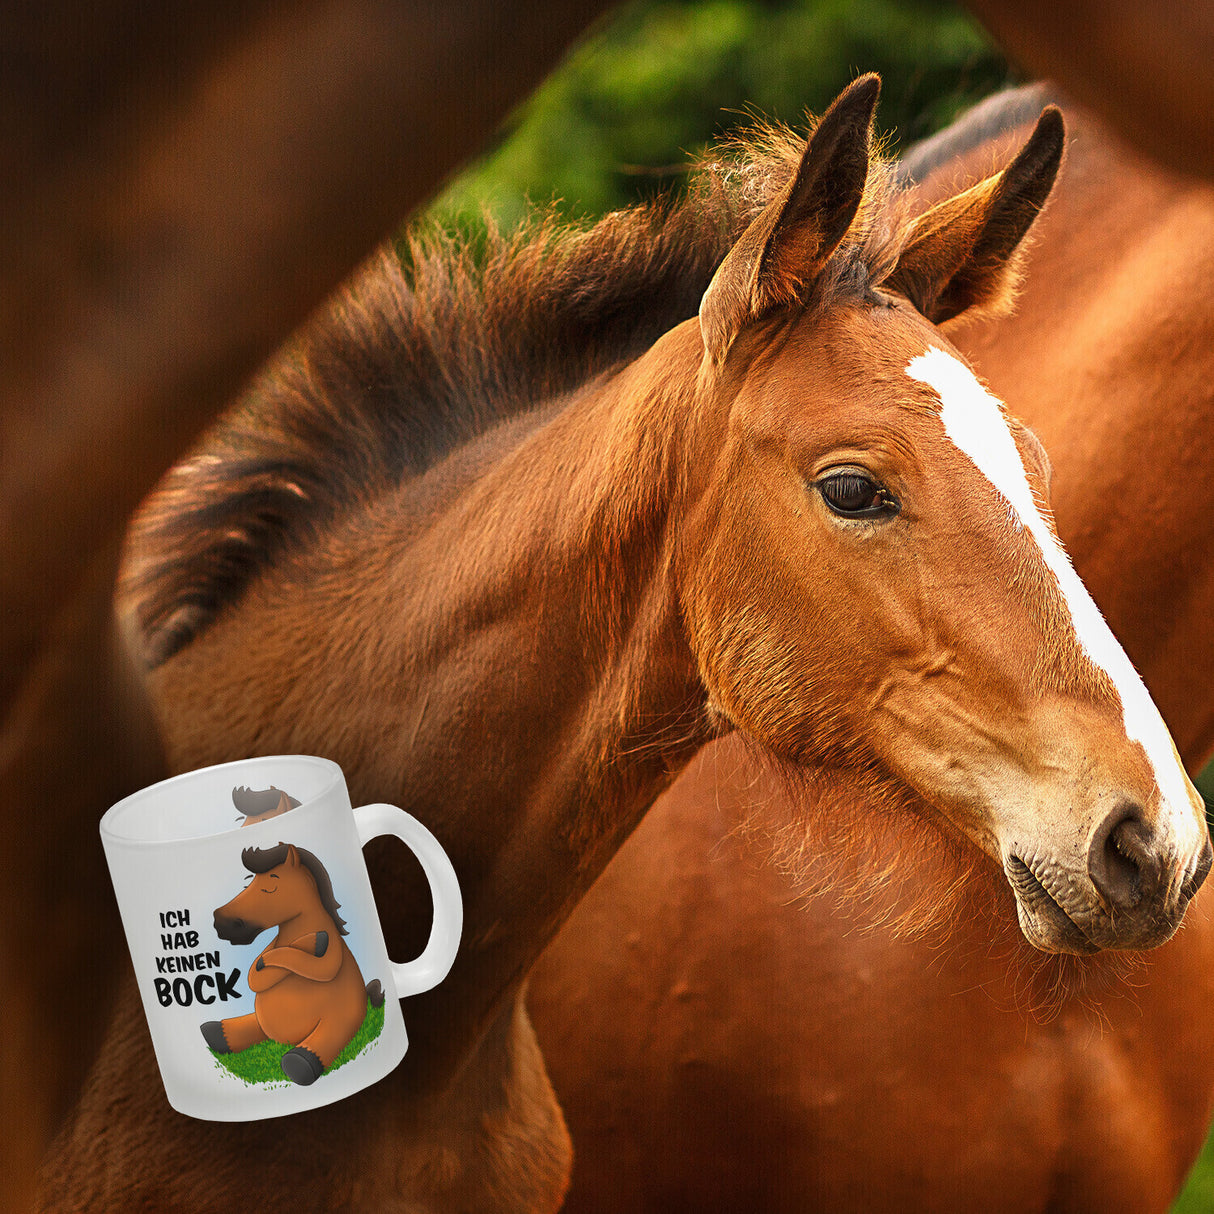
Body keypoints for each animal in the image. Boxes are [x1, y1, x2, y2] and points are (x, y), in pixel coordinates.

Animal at [203, 842, 379, 1085]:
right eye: (248, 882)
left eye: (271, 886)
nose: (221, 922)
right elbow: (255, 973)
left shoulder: (331, 955)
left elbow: (318, 964)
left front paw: (314, 941)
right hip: (262, 1024)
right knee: (252, 1026)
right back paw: (217, 1032)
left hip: (339, 1022)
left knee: (307, 1054)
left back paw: (301, 1059)